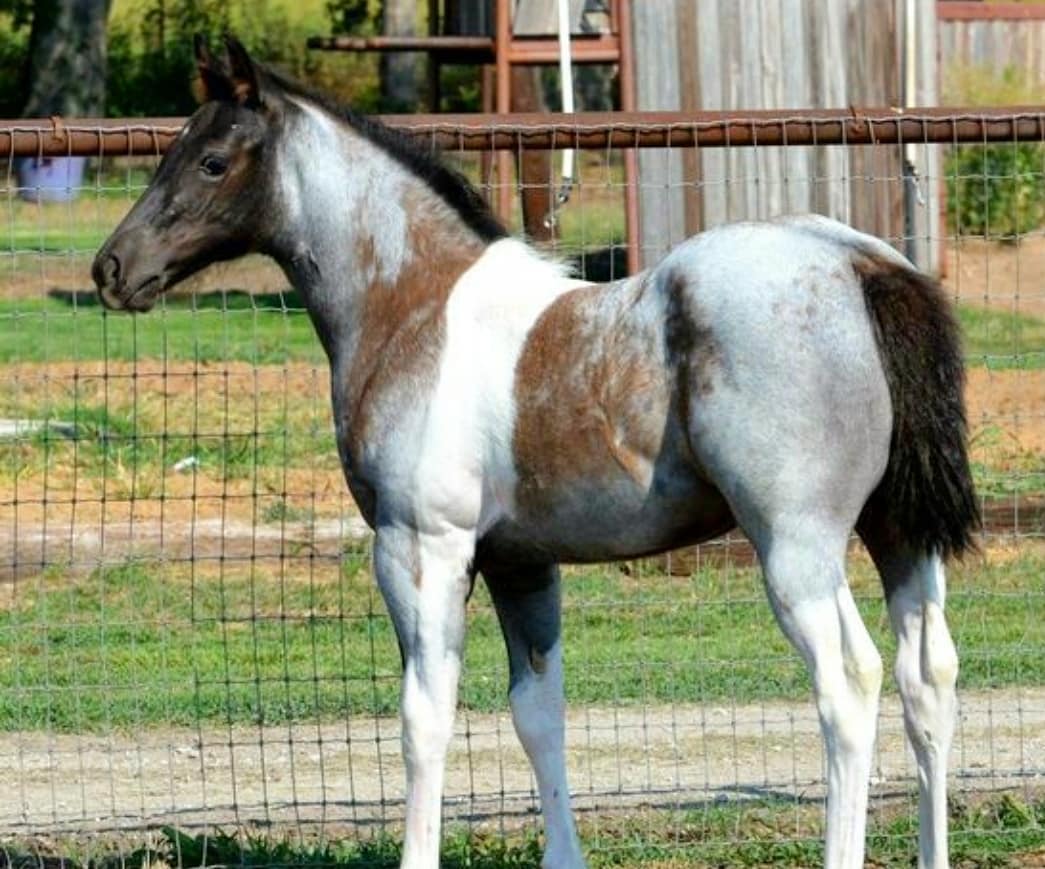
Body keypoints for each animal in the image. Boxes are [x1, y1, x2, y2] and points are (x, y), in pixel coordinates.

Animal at [94, 35, 982, 869]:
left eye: (211, 160)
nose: (112, 267)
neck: (411, 306)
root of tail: (860, 264)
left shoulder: (420, 548)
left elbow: (424, 715)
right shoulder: (521, 562)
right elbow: (537, 712)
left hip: (796, 545)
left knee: (848, 682)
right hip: (898, 535)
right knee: (927, 677)